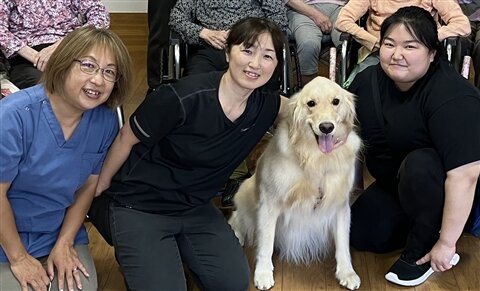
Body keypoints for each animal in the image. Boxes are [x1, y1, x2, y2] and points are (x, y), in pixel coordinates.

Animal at [229, 76, 360, 290]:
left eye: (336, 101)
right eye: (311, 103)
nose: (326, 127)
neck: (315, 159)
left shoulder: (340, 203)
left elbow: (343, 243)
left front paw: (347, 272)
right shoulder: (269, 203)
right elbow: (266, 243)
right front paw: (263, 273)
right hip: (245, 191)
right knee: (237, 217)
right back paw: (237, 233)